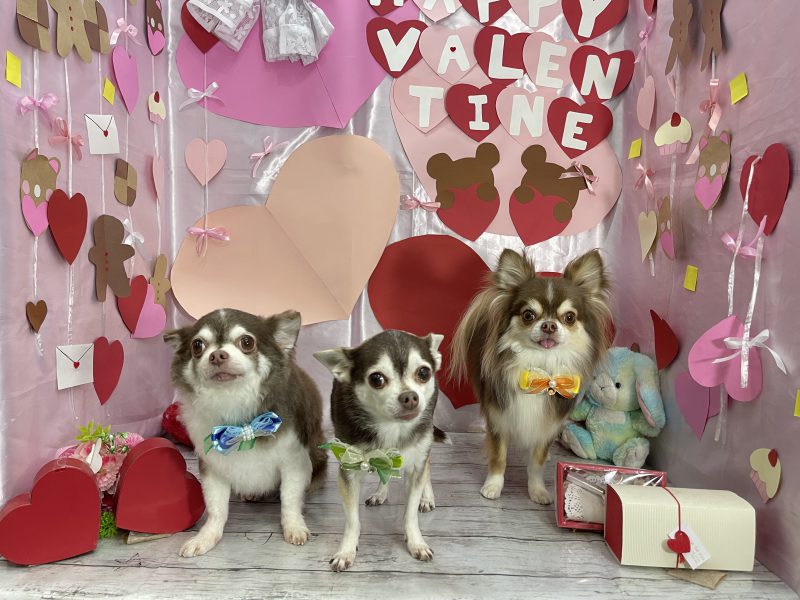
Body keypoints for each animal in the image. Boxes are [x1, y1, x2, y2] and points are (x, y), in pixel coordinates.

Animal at [164, 308, 326, 557]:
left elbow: (289, 499)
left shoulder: (294, 462)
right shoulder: (213, 467)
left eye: (247, 342)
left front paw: (294, 527)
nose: (217, 355)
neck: (235, 408)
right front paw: (205, 537)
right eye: (197, 346)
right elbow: (216, 508)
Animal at [314, 330, 447, 572]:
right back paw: (380, 493)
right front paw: (346, 550)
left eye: (423, 372)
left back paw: (427, 497)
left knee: (427, 465)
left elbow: (409, 513)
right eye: (377, 379)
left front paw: (416, 542)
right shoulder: (349, 468)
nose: (410, 396)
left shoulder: (417, 462)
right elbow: (352, 520)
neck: (390, 427)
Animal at [451, 249, 611, 505]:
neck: (540, 368)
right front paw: (493, 486)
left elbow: (536, 462)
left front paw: (537, 491)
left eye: (569, 317)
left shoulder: (547, 425)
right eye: (528, 315)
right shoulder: (499, 418)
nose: (549, 325)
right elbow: (499, 457)